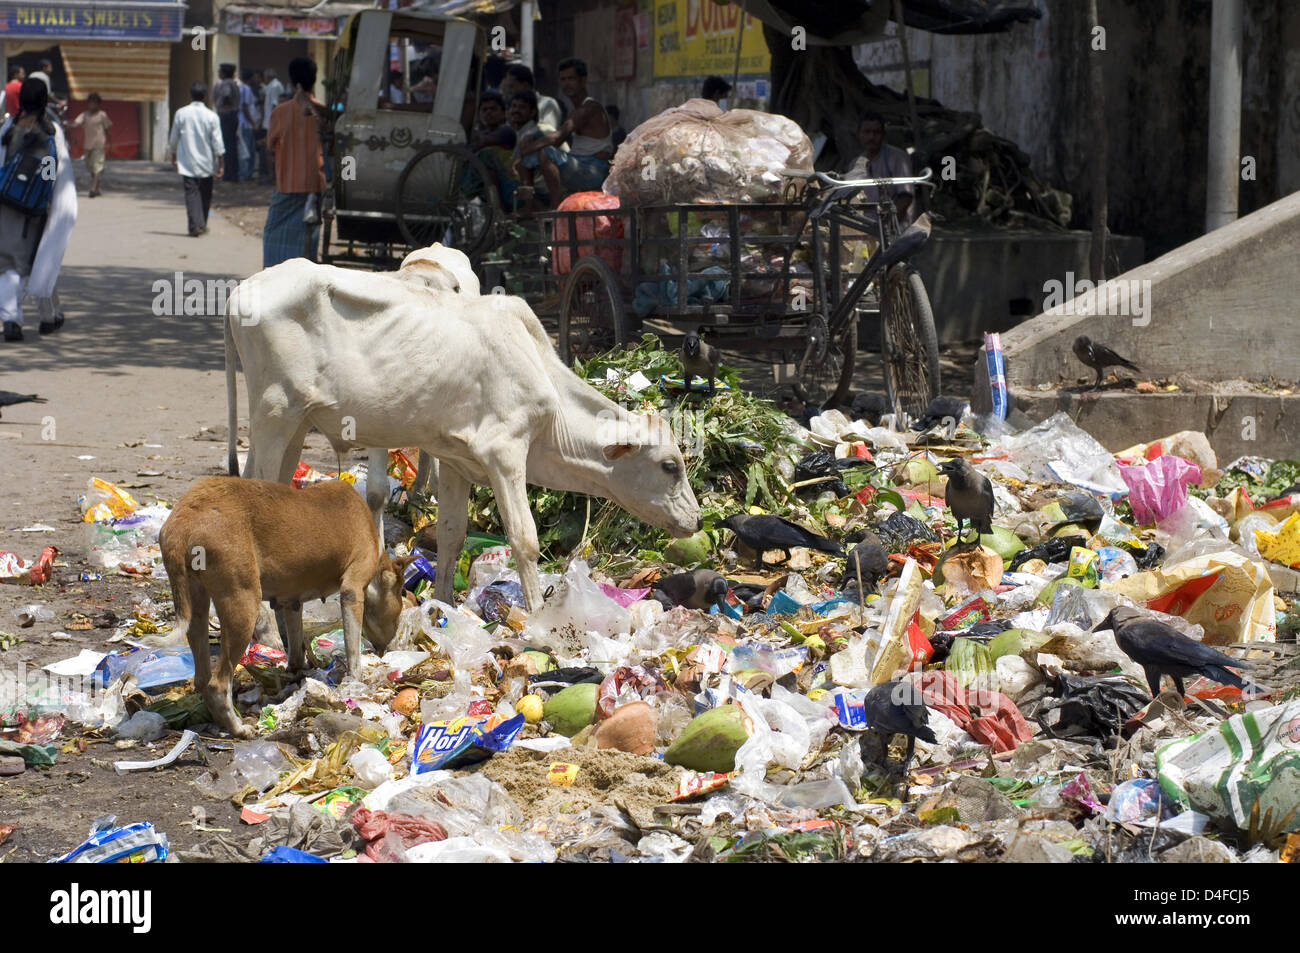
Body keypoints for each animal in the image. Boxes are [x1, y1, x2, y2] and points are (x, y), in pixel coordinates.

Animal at [228, 252, 707, 608]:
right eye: (670, 466)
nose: (696, 518)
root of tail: (240, 291)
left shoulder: (455, 459)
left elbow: (451, 534)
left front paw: (441, 607)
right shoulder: (505, 453)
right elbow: (524, 538)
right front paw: (539, 618)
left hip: (294, 425)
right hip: (274, 414)